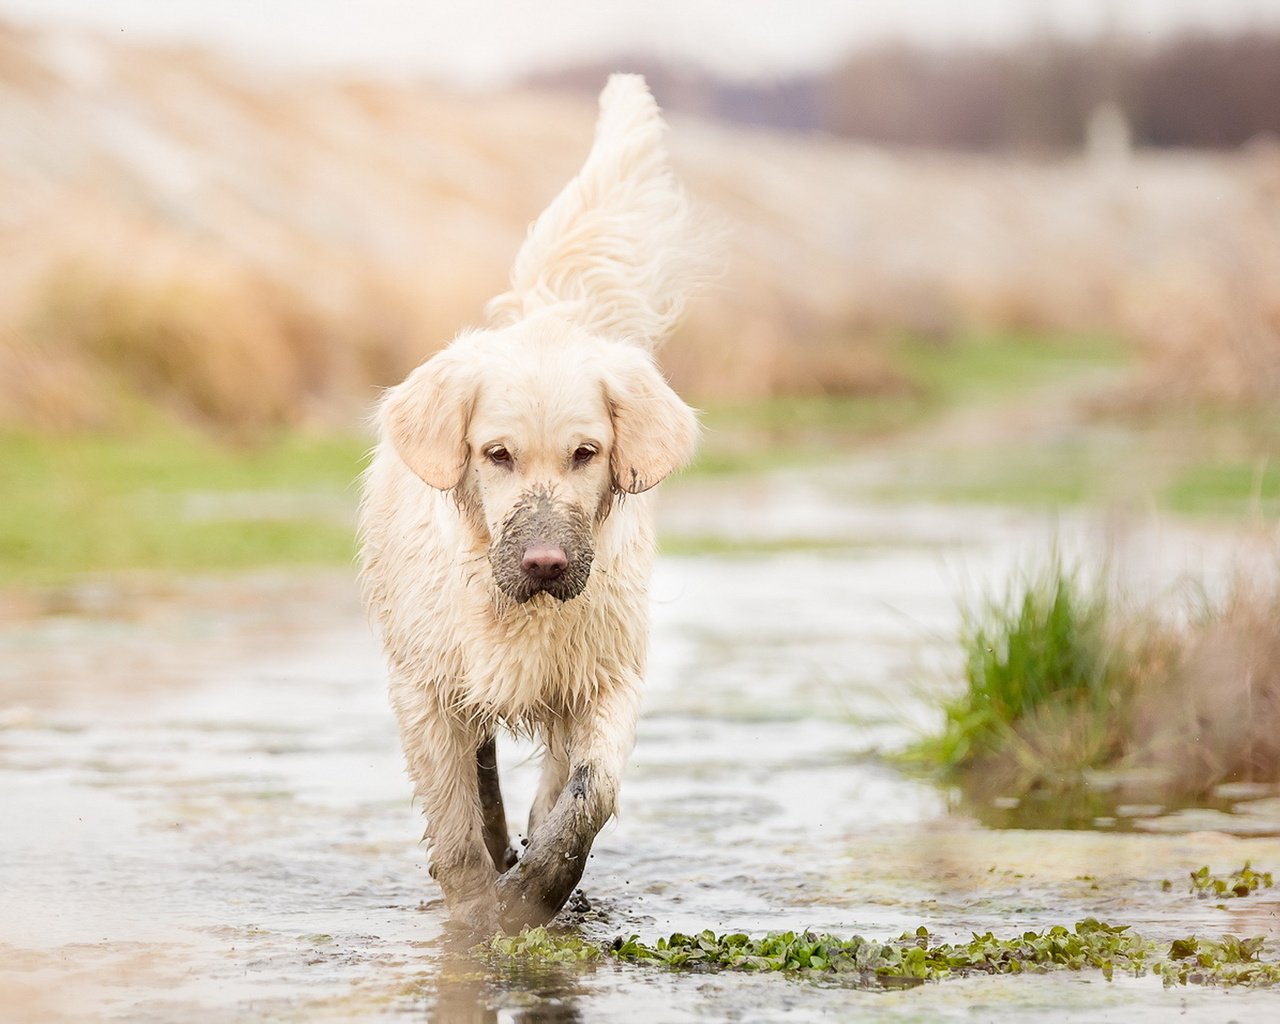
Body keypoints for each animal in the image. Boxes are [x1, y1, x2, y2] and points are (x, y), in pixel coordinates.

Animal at [358, 76, 711, 931]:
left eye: (586, 453)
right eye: (497, 454)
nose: (547, 563)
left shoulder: (605, 677)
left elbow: (585, 794)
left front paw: (535, 894)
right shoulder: (425, 688)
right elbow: (456, 825)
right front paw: (477, 919)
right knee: (481, 776)